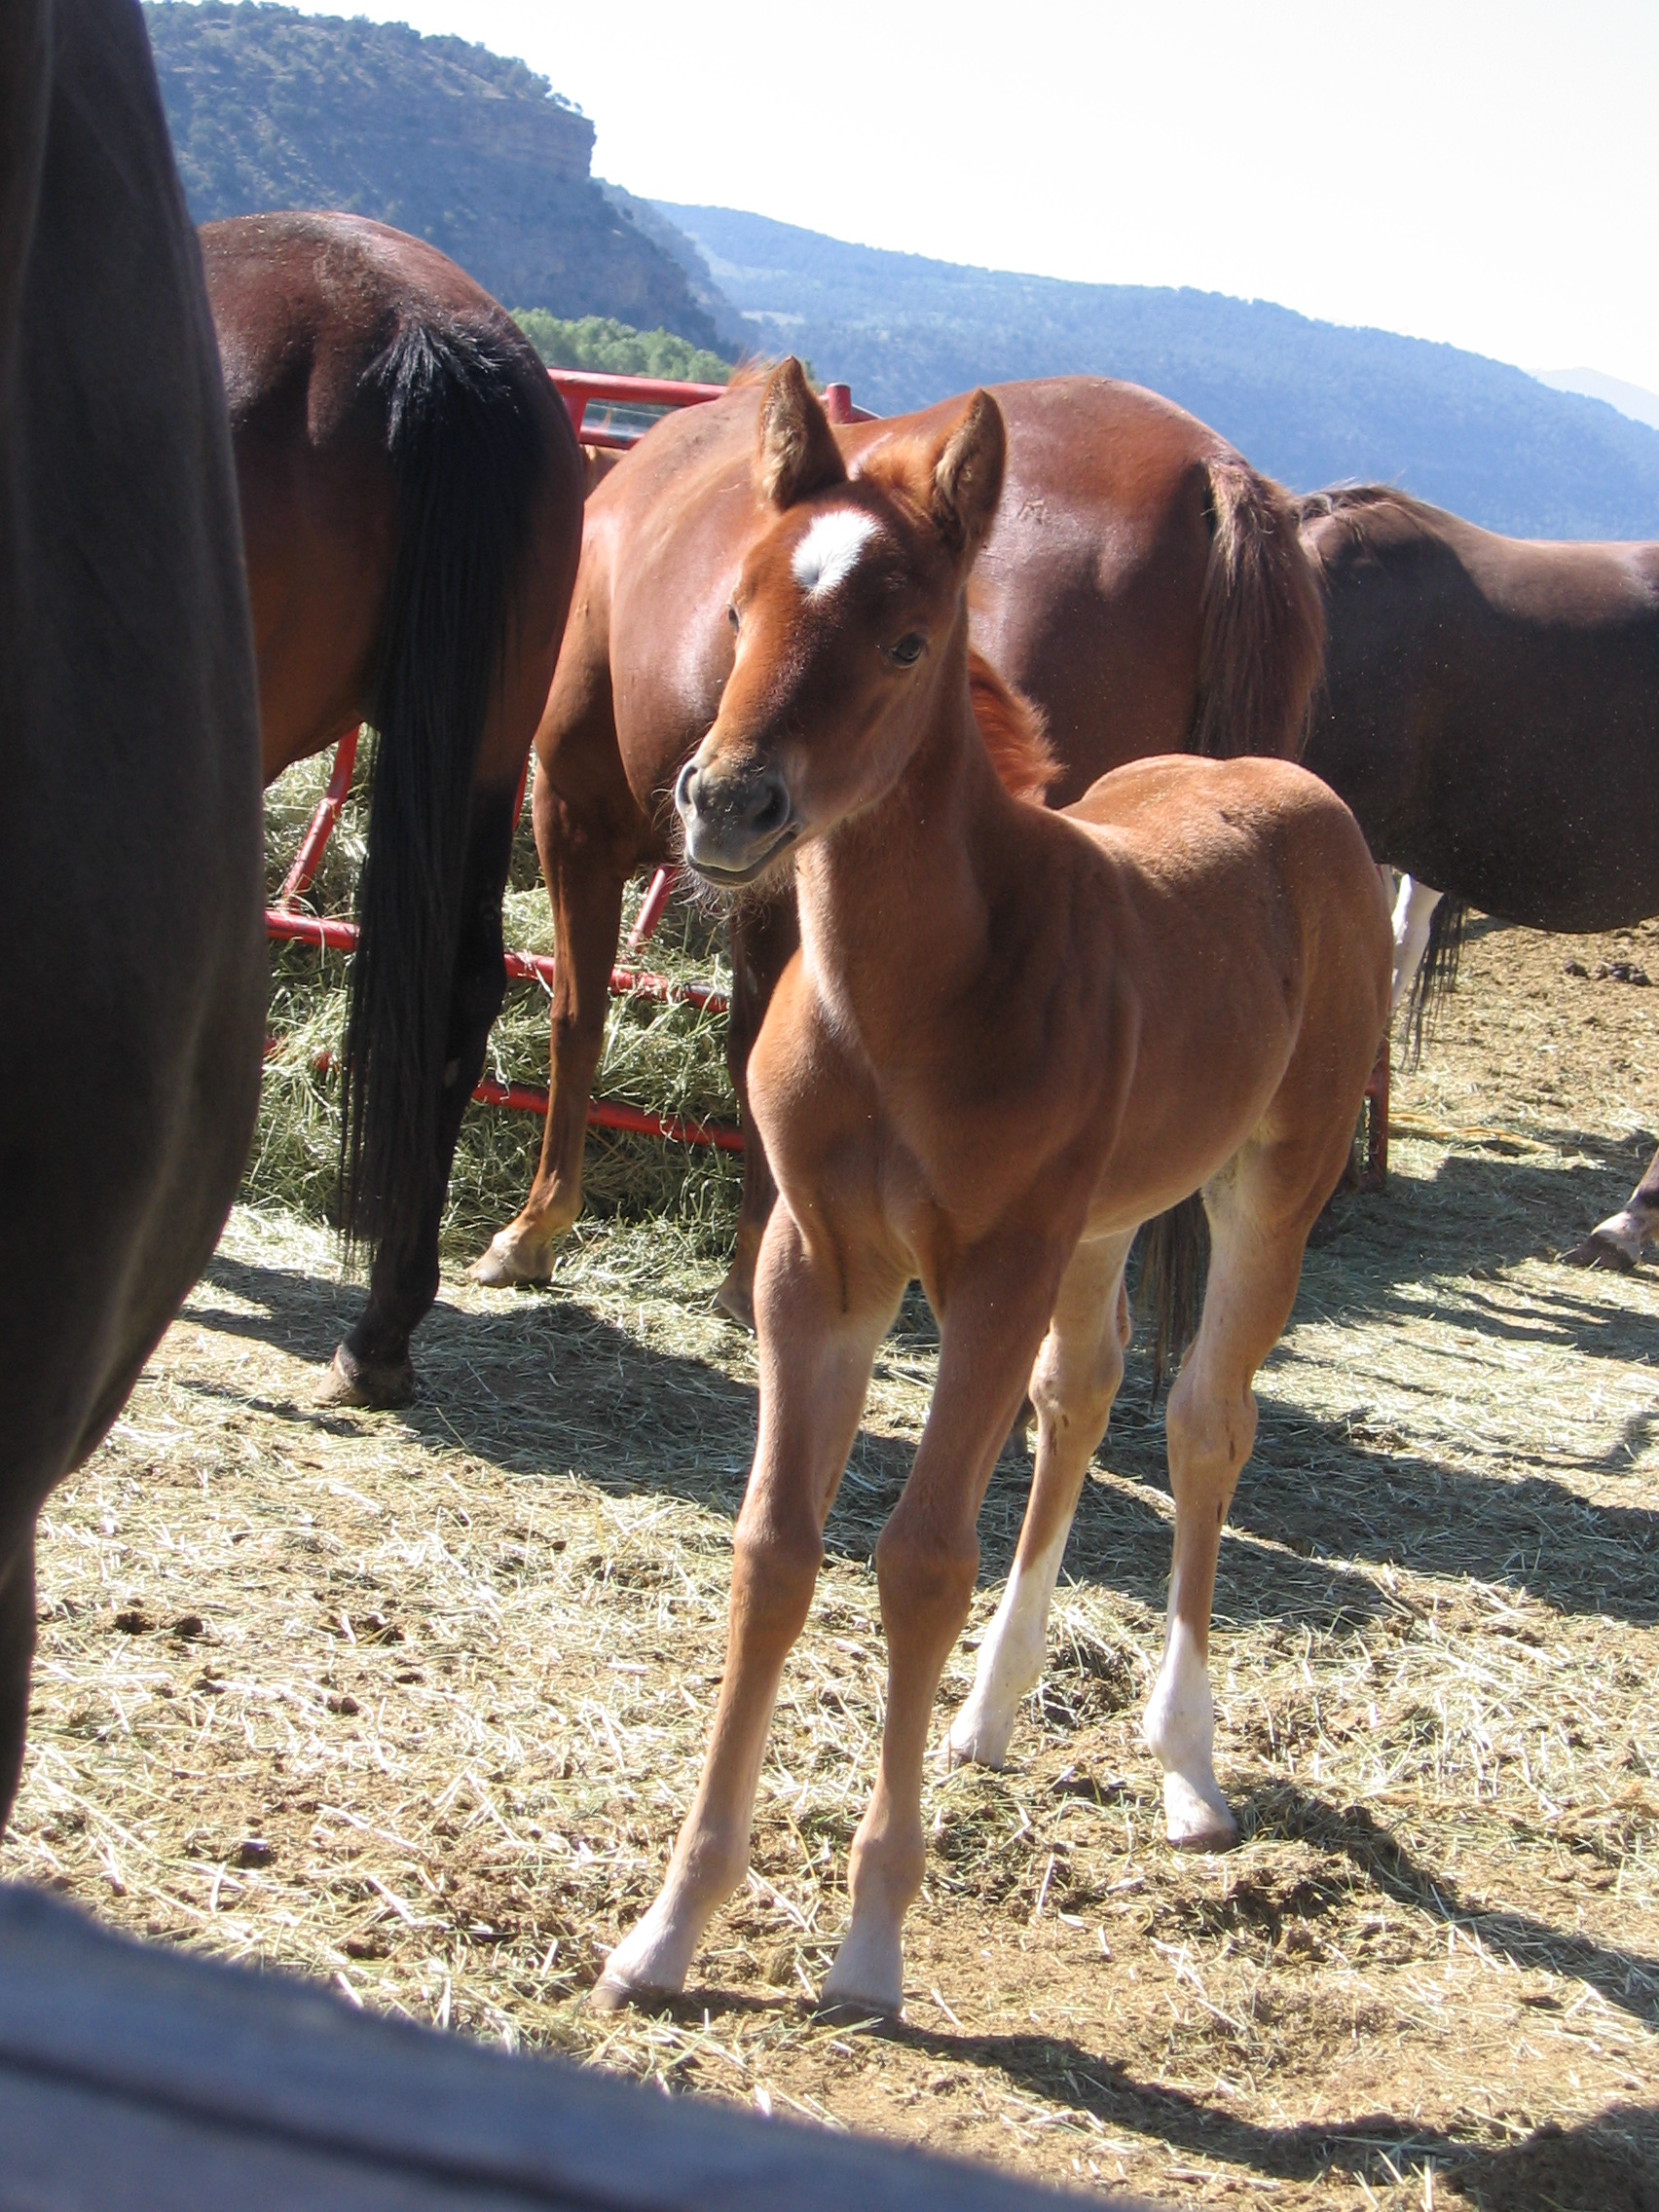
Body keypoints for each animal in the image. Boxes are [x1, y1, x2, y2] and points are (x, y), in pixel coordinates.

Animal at [470, 371, 1327, 1318]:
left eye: (907, 644)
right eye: (734, 611)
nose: (724, 800)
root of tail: (1208, 467)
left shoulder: (572, 812)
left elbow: (578, 1016)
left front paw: (536, 1229)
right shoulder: (777, 882)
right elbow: (751, 1046)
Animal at [592, 362, 1397, 2026]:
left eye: (906, 640)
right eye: (743, 602)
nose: (728, 803)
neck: (919, 989)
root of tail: (1289, 782)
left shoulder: (989, 1269)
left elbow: (917, 1560)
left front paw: (870, 1945)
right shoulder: (819, 1265)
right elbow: (775, 1550)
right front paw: (671, 1925)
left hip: (1262, 1189)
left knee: (1203, 1422)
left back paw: (1187, 1769)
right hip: (1101, 1224)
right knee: (1080, 1396)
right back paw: (992, 1712)